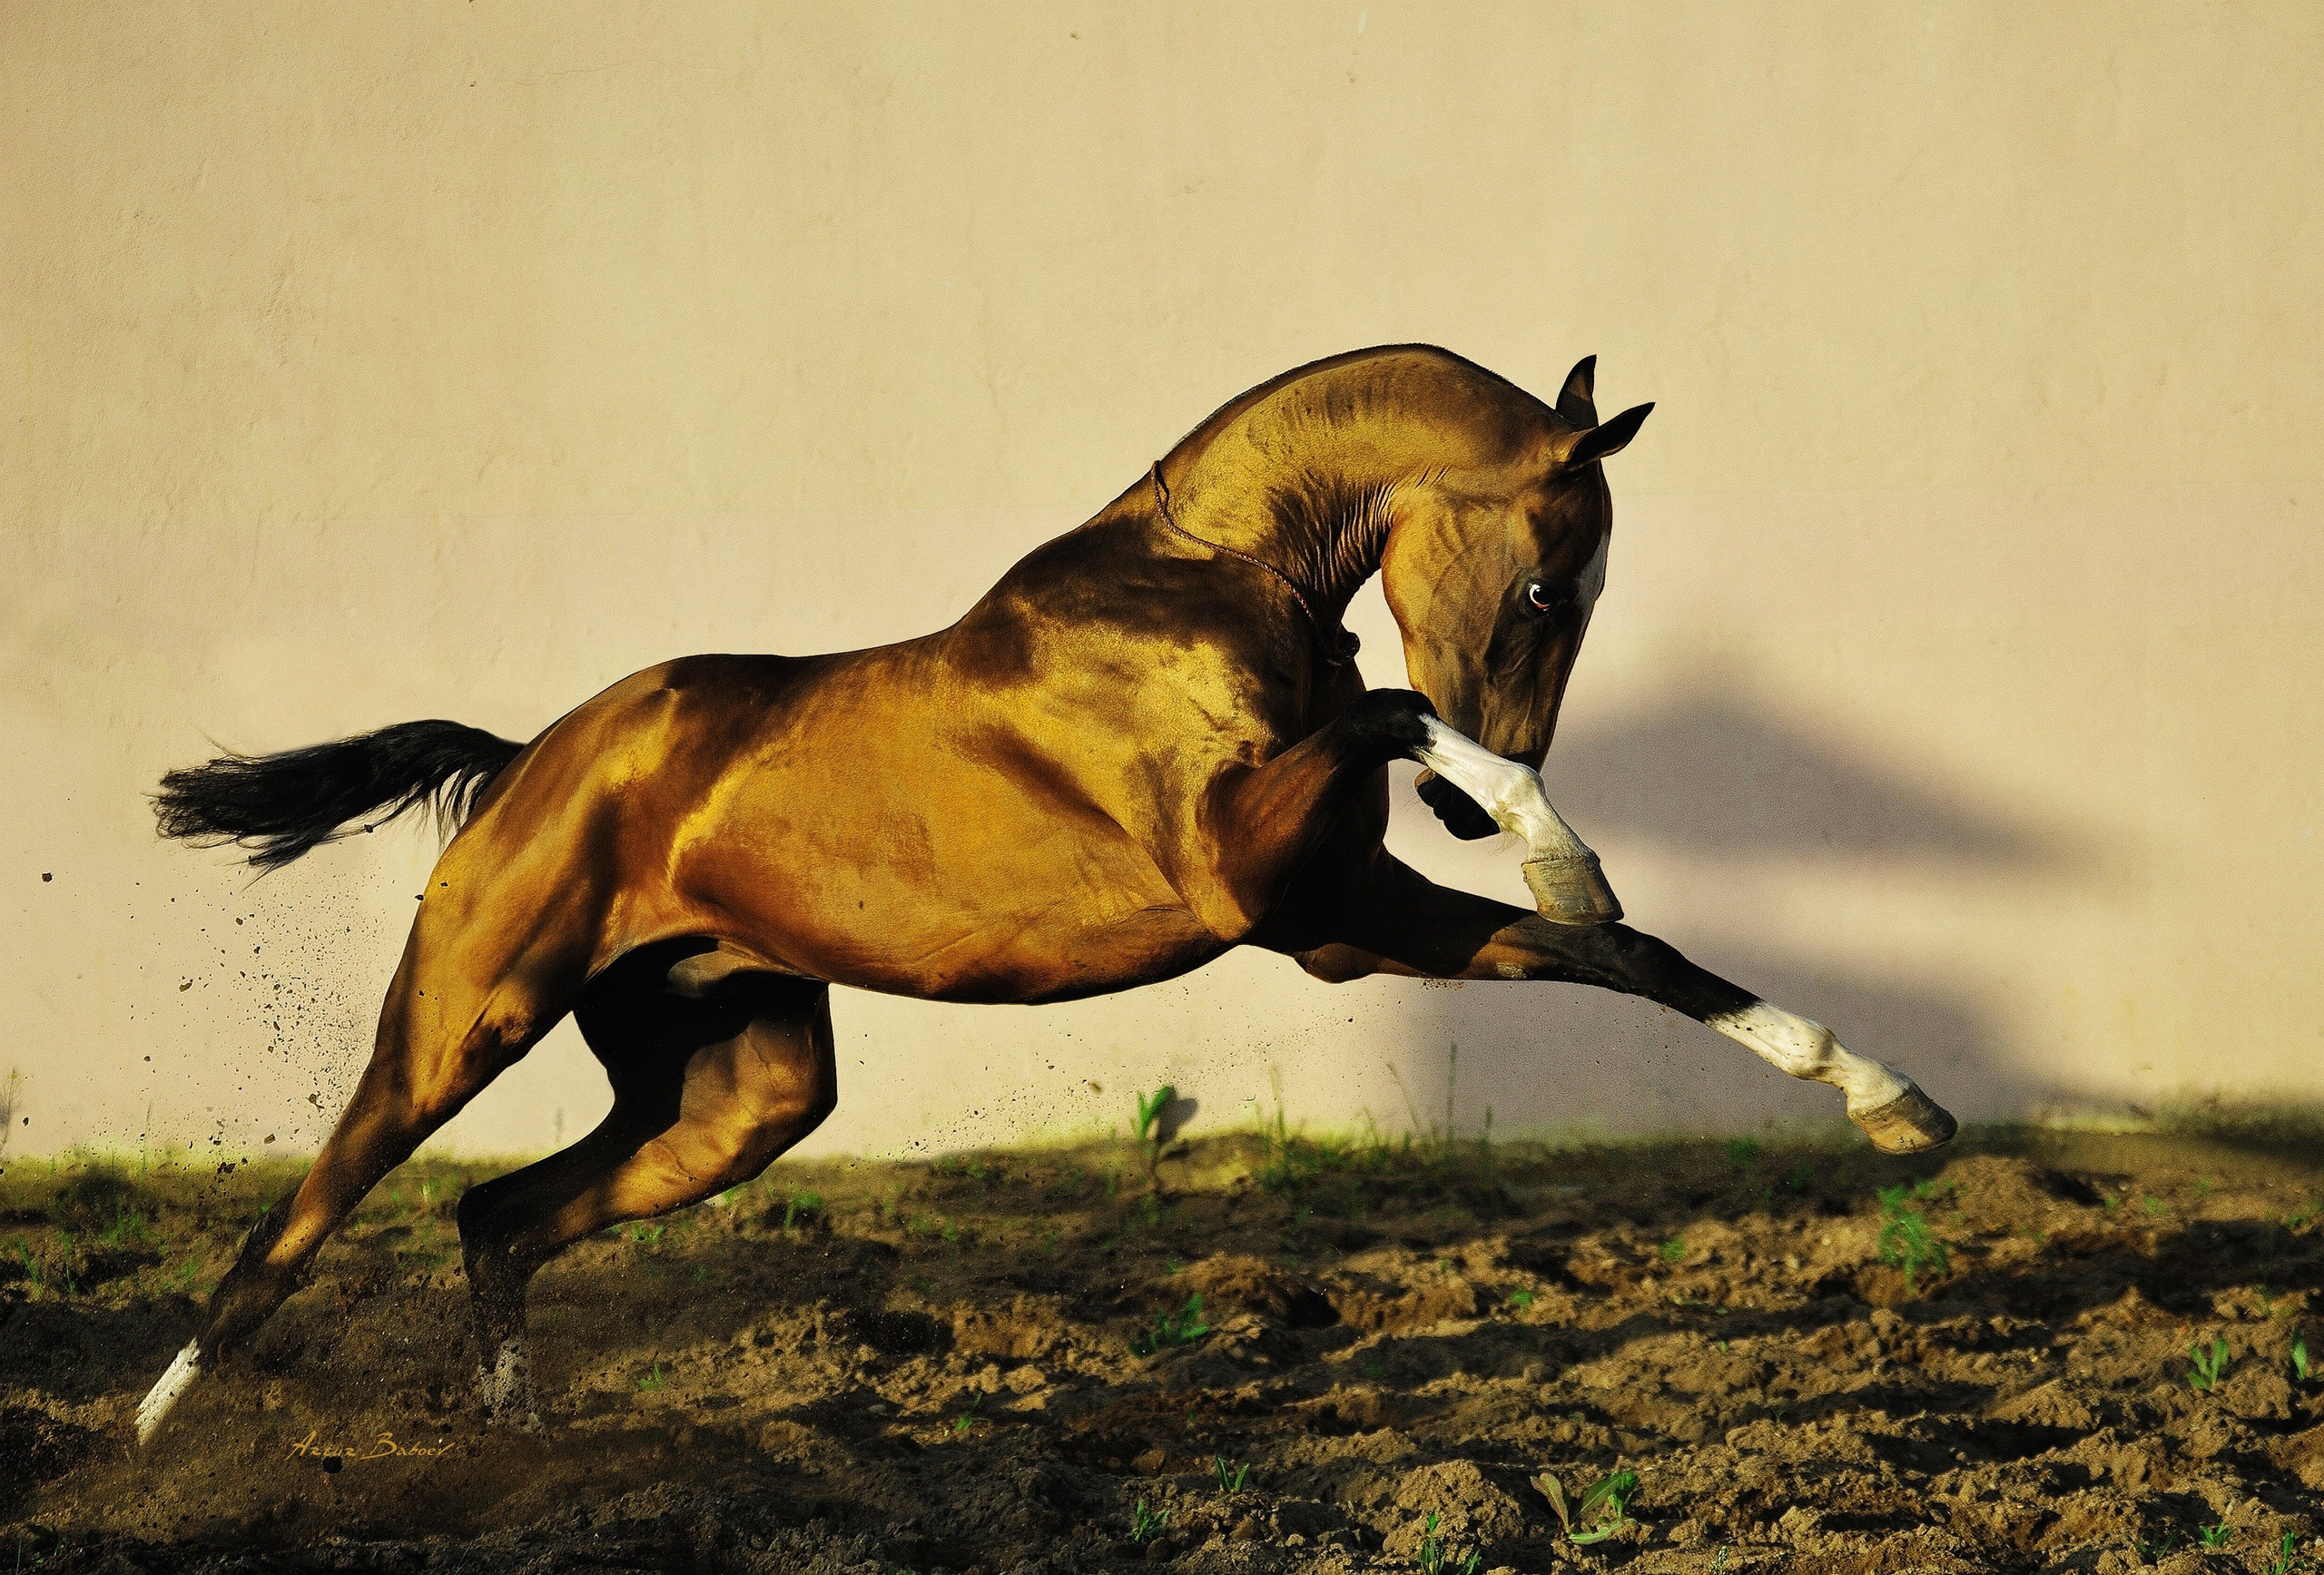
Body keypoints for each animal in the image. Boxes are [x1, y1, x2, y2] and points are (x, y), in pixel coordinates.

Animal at [136, 344, 1955, 1441]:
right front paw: (1549, 834)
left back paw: (520, 1443)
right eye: (1541, 589)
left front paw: (1891, 1099)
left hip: (736, 1090)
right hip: (467, 1014)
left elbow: (1640, 956)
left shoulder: (1337, 912)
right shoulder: (1256, 876)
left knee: (497, 1218)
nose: (1466, 794)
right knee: (302, 1226)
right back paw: (158, 1438)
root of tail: (532, 759)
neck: (1210, 579)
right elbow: (1400, 718)